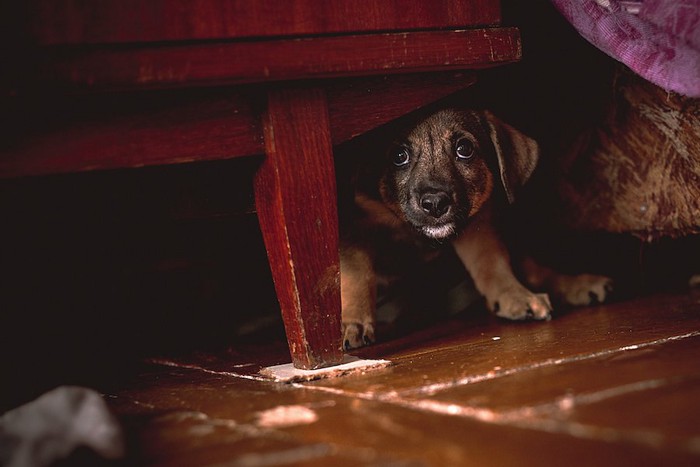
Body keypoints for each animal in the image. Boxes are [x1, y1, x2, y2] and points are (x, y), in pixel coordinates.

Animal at [340, 109, 612, 350]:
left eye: (464, 150)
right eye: (399, 156)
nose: (435, 204)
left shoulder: (477, 227)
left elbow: (491, 264)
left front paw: (514, 295)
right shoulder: (354, 230)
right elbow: (357, 276)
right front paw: (353, 323)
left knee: (534, 269)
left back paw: (577, 285)